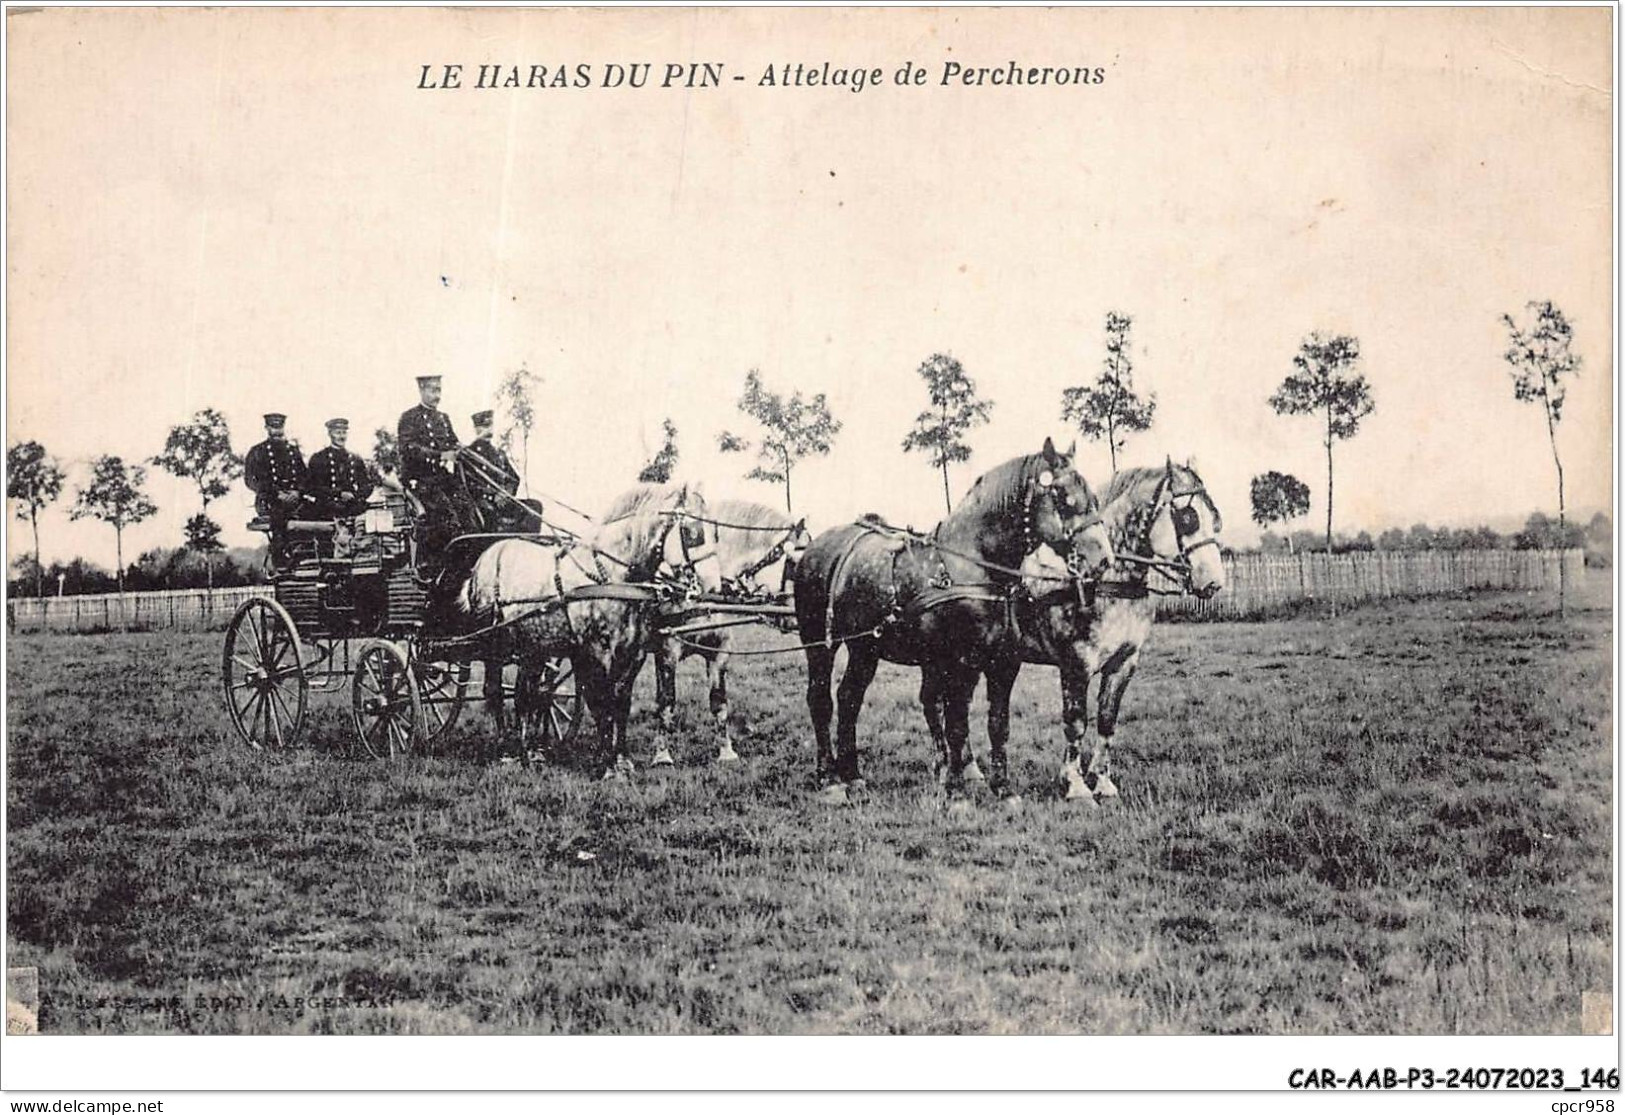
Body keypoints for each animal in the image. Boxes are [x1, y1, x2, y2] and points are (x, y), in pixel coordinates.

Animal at [789, 438, 1118, 802]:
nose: (1104, 560)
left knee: (850, 698)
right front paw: (958, 793)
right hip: (818, 641)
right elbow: (956, 724)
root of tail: (813, 548)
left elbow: (997, 723)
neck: (972, 566)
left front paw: (1002, 789)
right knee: (821, 700)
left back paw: (853, 776)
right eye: (1063, 497)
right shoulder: (954, 662)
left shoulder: (1003, 662)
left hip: (865, 648)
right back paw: (830, 778)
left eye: (1093, 498)